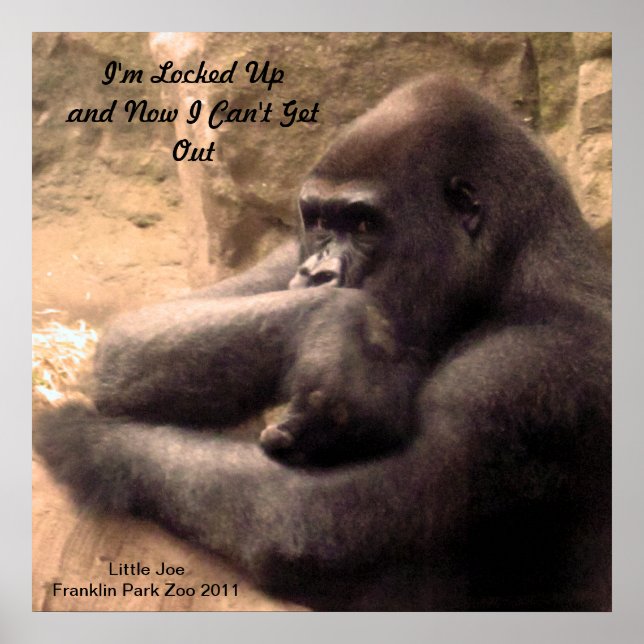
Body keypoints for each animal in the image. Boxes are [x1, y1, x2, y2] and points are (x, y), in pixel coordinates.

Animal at [34, 76, 611, 610]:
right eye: (317, 220)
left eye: (365, 224)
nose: (317, 274)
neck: (511, 262)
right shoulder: (291, 252)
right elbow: (133, 336)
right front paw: (330, 324)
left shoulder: (530, 368)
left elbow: (320, 522)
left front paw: (83, 439)